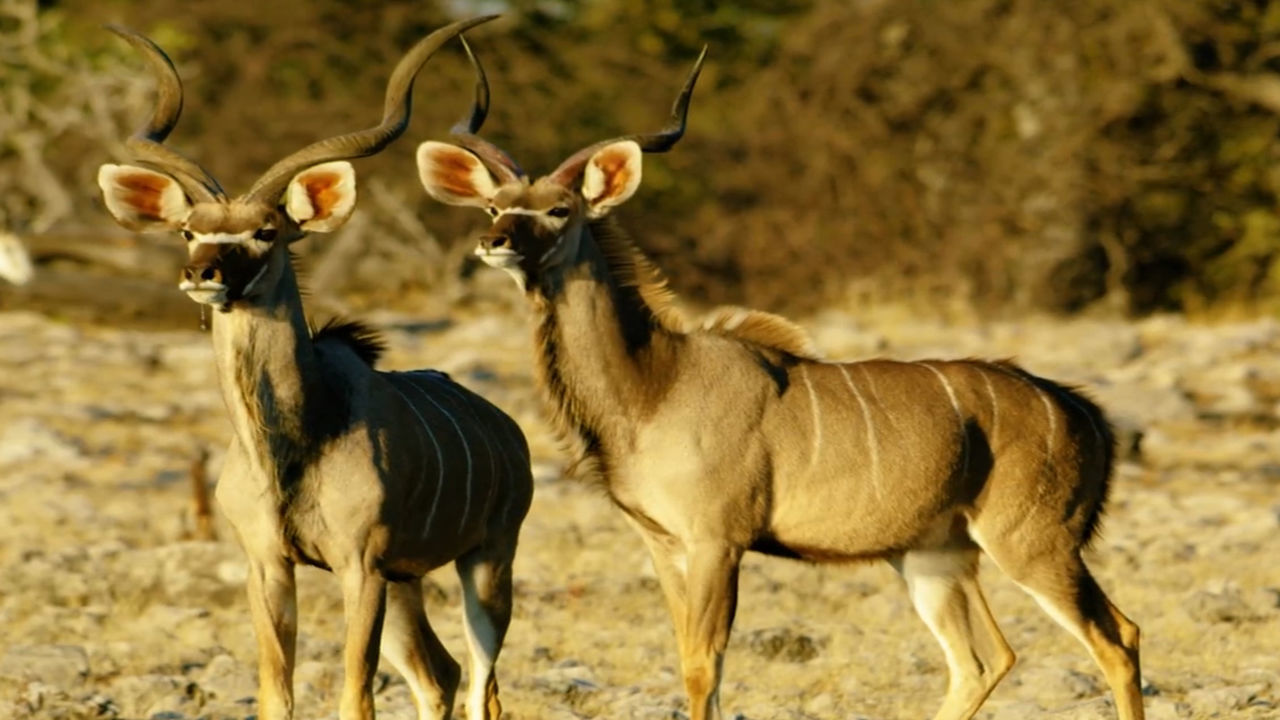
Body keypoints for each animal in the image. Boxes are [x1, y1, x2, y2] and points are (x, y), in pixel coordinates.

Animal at [96, 19, 529, 712]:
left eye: (266, 232)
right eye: (189, 231)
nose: (202, 274)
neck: (295, 442)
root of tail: (508, 432)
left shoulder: (361, 565)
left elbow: (355, 693)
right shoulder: (269, 564)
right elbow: (277, 692)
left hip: (487, 563)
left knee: (481, 686)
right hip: (407, 581)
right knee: (439, 674)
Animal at [414, 50, 1146, 717]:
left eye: (560, 209)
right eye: (494, 205)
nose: (496, 241)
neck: (654, 385)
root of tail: (1080, 410)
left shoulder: (718, 541)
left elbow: (704, 668)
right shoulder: (663, 544)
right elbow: (687, 657)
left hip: (1032, 543)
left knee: (1117, 637)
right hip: (934, 556)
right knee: (984, 659)